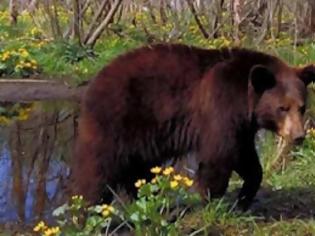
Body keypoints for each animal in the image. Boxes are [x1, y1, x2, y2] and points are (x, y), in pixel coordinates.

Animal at [72, 44, 315, 210]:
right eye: (282, 108)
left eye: (302, 107)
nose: (298, 136)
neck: (244, 99)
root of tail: (92, 84)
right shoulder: (220, 107)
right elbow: (219, 155)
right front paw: (213, 200)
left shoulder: (242, 127)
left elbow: (247, 159)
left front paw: (244, 199)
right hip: (113, 123)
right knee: (96, 170)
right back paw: (87, 211)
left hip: (140, 138)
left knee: (140, 172)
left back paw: (149, 198)